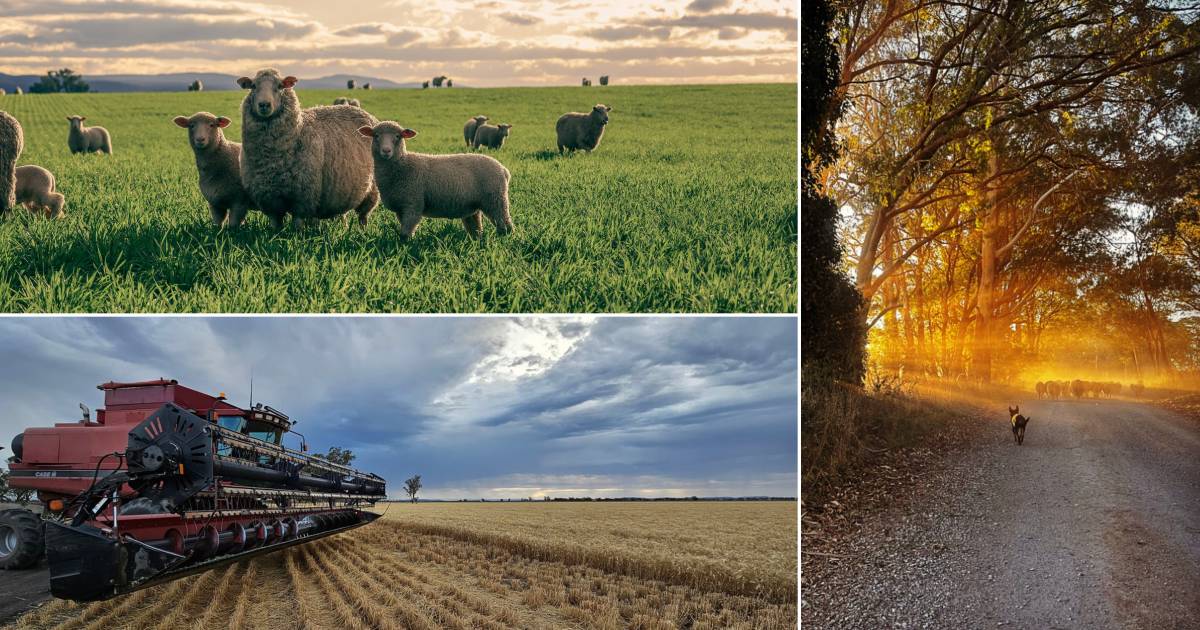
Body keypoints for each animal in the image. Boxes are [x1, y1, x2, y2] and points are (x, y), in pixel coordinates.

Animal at [236, 68, 376, 228]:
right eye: (253, 86)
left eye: (280, 86)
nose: (264, 104)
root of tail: (360, 110)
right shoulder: (270, 200)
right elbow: (275, 225)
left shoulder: (303, 198)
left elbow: (297, 225)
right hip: (342, 189)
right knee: (343, 213)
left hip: (372, 190)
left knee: (363, 215)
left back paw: (362, 229)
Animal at [352, 121, 508, 240]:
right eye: (376, 135)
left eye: (398, 136)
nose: (386, 151)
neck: (403, 165)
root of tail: (503, 169)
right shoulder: (401, 207)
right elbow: (403, 231)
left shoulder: (413, 204)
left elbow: (406, 233)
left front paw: (406, 247)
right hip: (473, 206)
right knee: (476, 229)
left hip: (496, 200)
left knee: (505, 225)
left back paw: (504, 240)